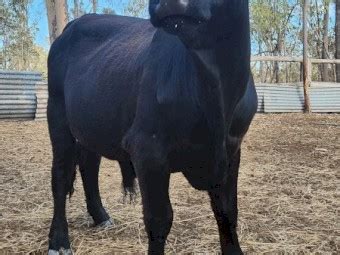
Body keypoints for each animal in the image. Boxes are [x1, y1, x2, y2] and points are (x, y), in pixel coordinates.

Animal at [46, 0, 256, 253]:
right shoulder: (148, 149)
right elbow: (159, 219)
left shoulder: (231, 149)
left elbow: (227, 211)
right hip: (57, 113)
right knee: (60, 175)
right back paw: (59, 240)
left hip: (91, 124)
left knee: (89, 164)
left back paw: (101, 217)